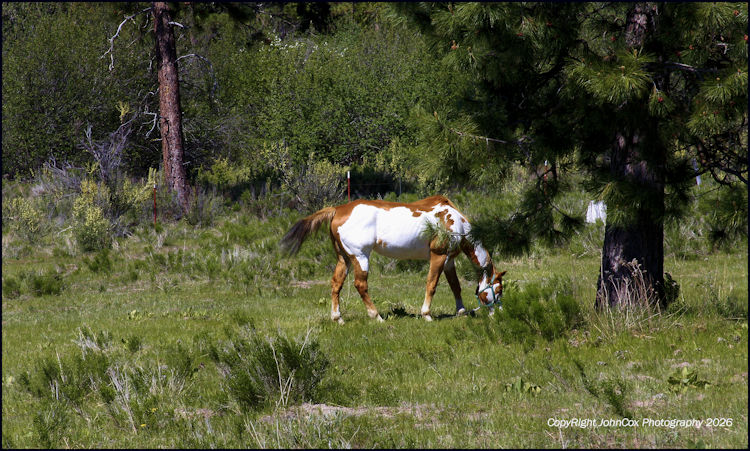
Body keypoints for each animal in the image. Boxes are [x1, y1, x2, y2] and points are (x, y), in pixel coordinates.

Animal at [280, 195, 506, 323]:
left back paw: (338, 318)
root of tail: (338, 209)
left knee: (336, 284)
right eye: (498, 289)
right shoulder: (438, 256)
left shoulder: (448, 260)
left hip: (344, 259)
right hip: (360, 257)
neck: (455, 220)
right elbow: (432, 284)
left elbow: (455, 286)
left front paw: (461, 311)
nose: (499, 313)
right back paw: (377, 316)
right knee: (361, 285)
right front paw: (426, 314)